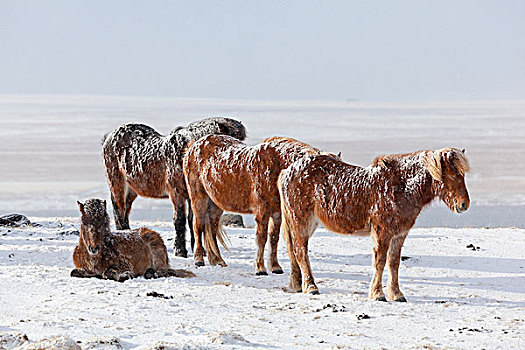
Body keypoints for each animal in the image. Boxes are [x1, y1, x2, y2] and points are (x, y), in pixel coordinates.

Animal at [102, 117, 246, 258]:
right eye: (230, 140)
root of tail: (109, 136)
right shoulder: (177, 194)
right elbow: (180, 220)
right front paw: (180, 250)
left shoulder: (193, 196)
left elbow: (194, 221)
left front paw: (200, 251)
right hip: (117, 183)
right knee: (119, 208)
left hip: (132, 189)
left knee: (126, 209)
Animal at [182, 134, 338, 274]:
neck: (275, 165)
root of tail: (193, 146)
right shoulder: (261, 212)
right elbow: (261, 238)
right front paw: (260, 268)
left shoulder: (276, 213)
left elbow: (273, 238)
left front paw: (275, 267)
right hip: (199, 198)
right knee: (198, 226)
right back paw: (199, 259)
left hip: (215, 204)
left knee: (212, 229)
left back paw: (218, 260)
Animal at [278, 148, 470, 300]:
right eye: (452, 175)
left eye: (462, 175)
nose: (464, 204)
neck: (402, 188)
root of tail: (286, 172)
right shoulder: (382, 232)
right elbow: (380, 262)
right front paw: (378, 294)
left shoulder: (399, 234)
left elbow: (394, 263)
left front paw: (396, 294)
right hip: (301, 221)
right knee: (301, 252)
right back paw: (311, 287)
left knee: (294, 251)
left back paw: (297, 285)